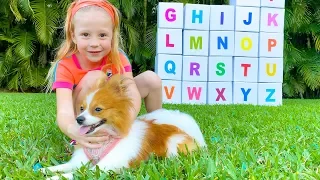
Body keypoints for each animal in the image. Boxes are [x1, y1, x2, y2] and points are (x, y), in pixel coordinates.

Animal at [40, 74, 206, 179]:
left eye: (98, 109)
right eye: (82, 108)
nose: (79, 119)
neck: (106, 137)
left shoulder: (104, 167)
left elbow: (77, 173)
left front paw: (54, 178)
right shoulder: (79, 161)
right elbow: (64, 166)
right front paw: (46, 169)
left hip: (174, 145)